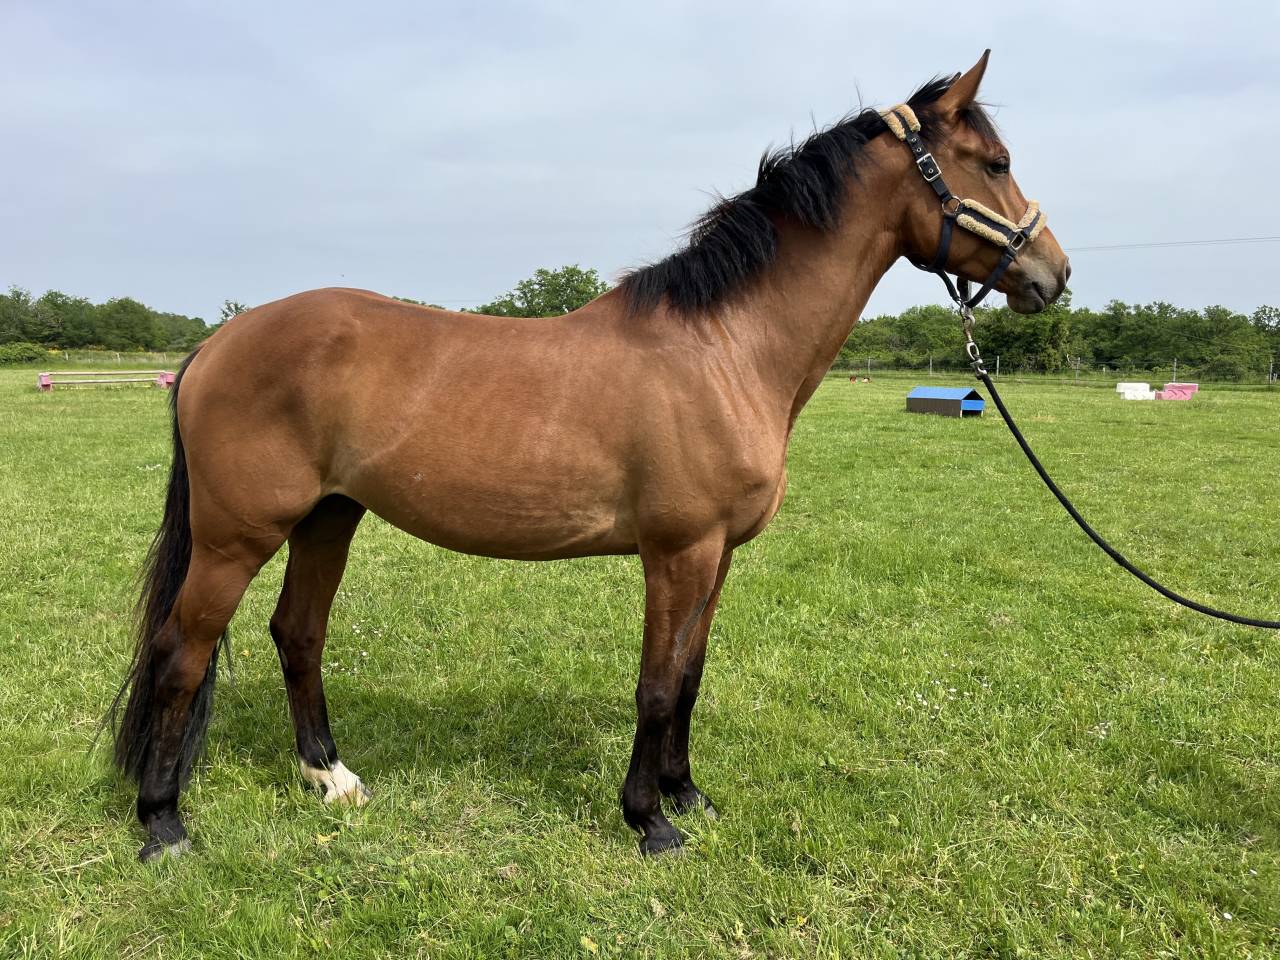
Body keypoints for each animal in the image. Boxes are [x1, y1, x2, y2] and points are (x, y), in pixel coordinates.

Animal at [109, 51, 1069, 861]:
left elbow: (690, 676)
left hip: (328, 518)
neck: (725, 347)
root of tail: (219, 341)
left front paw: (688, 796)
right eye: (994, 162)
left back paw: (329, 778)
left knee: (297, 633)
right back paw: (164, 826)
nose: (1053, 277)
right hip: (236, 535)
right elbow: (655, 685)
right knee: (181, 650)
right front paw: (650, 823)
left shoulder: (719, 556)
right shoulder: (678, 553)